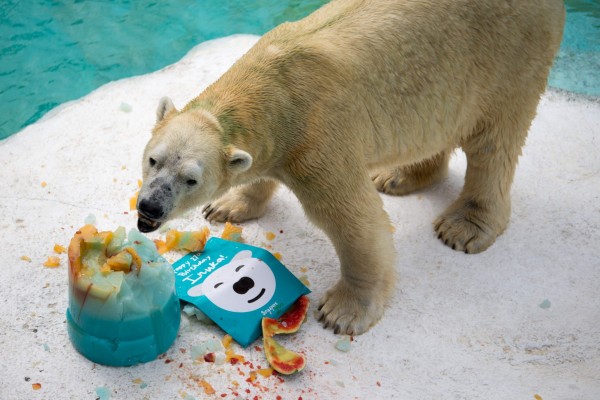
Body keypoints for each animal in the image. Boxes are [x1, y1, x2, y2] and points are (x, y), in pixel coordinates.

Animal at [138, 0, 564, 336]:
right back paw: (397, 176)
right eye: (153, 159)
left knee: (494, 141)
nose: (149, 208)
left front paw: (343, 311)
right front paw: (229, 206)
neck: (274, 84)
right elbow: (256, 172)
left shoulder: (318, 136)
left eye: (191, 179)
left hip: (510, 54)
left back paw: (464, 225)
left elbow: (353, 219)